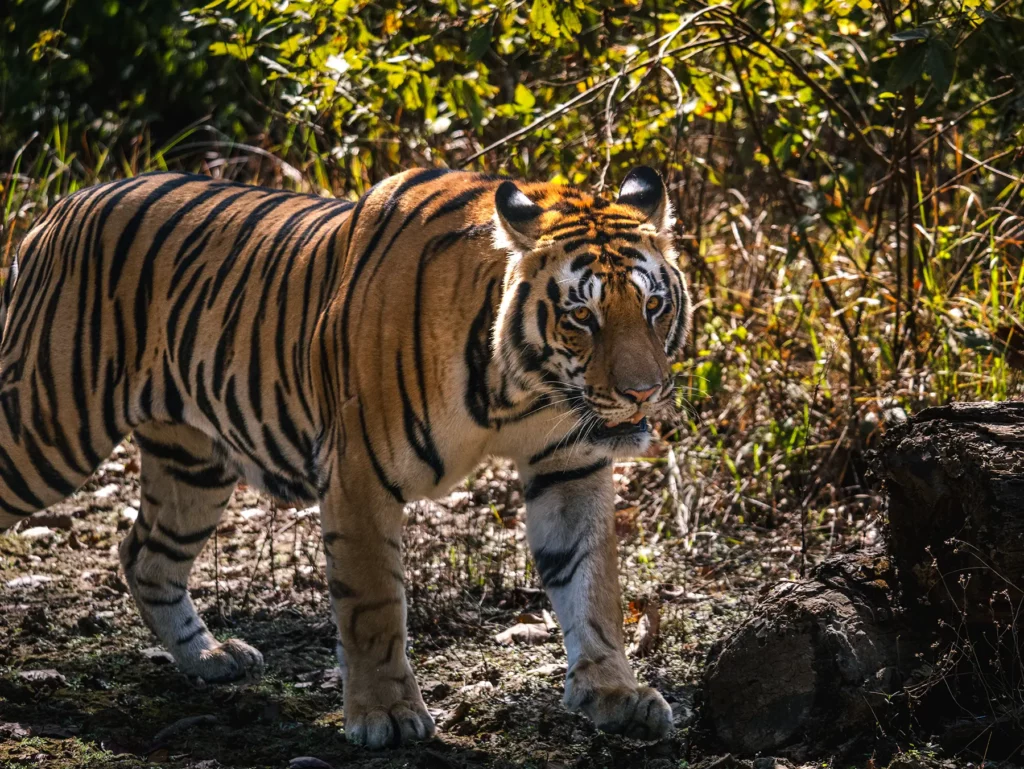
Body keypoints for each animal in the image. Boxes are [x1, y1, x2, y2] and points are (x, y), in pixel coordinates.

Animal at [0, 165, 691, 748]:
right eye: (582, 316)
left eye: (653, 305)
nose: (645, 391)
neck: (518, 391)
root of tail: (60, 207)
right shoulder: (359, 471)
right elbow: (373, 601)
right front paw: (386, 713)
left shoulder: (570, 466)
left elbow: (592, 583)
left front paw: (614, 692)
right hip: (47, 428)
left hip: (191, 463)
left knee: (145, 555)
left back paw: (210, 658)